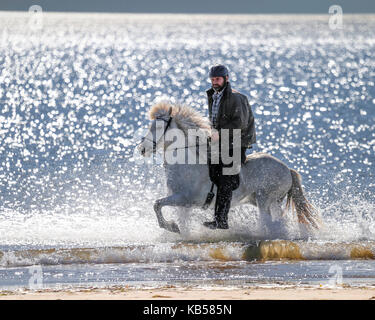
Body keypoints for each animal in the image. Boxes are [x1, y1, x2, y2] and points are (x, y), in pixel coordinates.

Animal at [138, 102, 320, 235]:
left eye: (158, 128)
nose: (142, 149)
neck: (187, 164)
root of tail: (287, 169)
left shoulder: (184, 198)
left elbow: (157, 204)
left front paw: (171, 226)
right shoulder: (183, 205)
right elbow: (167, 212)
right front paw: (176, 229)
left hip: (265, 198)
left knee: (269, 223)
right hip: (264, 201)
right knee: (277, 222)